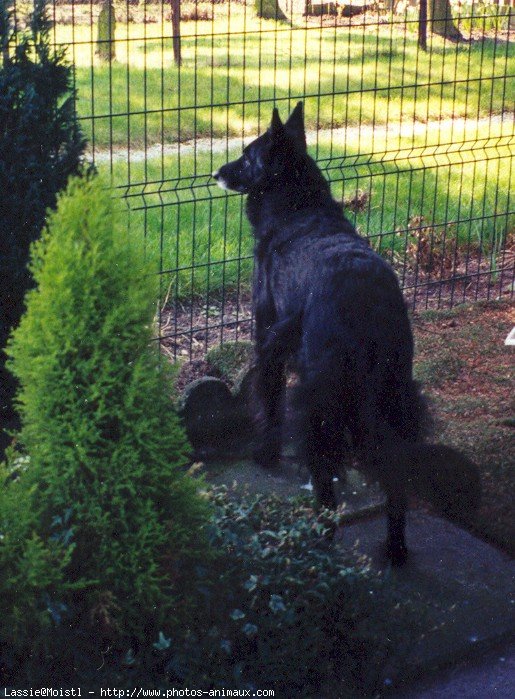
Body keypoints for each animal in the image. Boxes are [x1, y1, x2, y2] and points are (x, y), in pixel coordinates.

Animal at [213, 102, 480, 564]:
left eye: (247, 157)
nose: (217, 172)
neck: (299, 208)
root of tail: (369, 301)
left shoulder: (267, 337)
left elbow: (269, 399)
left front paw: (265, 456)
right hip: (393, 395)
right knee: (395, 469)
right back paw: (395, 547)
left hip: (324, 396)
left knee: (325, 468)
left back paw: (320, 537)